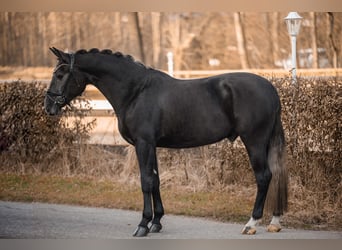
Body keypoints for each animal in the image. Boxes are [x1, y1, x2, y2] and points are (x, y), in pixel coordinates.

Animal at [44, 47, 288, 236]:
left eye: (61, 74)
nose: (48, 107)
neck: (136, 91)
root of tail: (270, 89)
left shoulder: (143, 144)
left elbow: (145, 181)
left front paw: (143, 225)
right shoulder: (151, 145)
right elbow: (155, 180)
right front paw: (156, 222)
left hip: (254, 142)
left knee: (264, 177)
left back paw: (251, 223)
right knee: (275, 174)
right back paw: (275, 222)